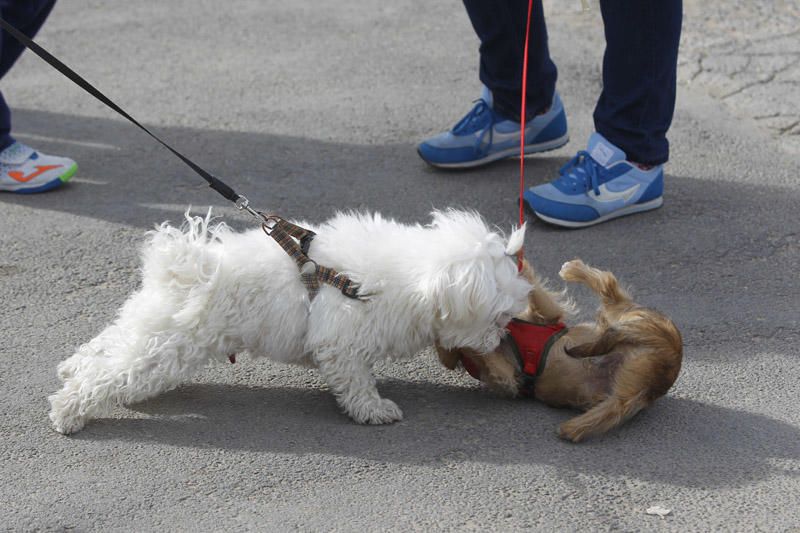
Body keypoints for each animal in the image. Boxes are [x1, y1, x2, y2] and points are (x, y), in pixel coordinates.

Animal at [48, 208, 532, 432]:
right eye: (499, 317)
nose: (496, 340)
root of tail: (187, 267)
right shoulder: (342, 341)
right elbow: (356, 382)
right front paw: (373, 410)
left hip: (151, 327)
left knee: (105, 348)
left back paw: (72, 368)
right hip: (166, 347)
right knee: (107, 374)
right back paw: (68, 412)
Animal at [438, 260, 680, 442]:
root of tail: (671, 350)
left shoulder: (547, 316)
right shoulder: (505, 376)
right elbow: (458, 353)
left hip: (623, 319)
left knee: (608, 283)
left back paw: (573, 269)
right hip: (628, 387)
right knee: (613, 408)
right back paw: (574, 427)